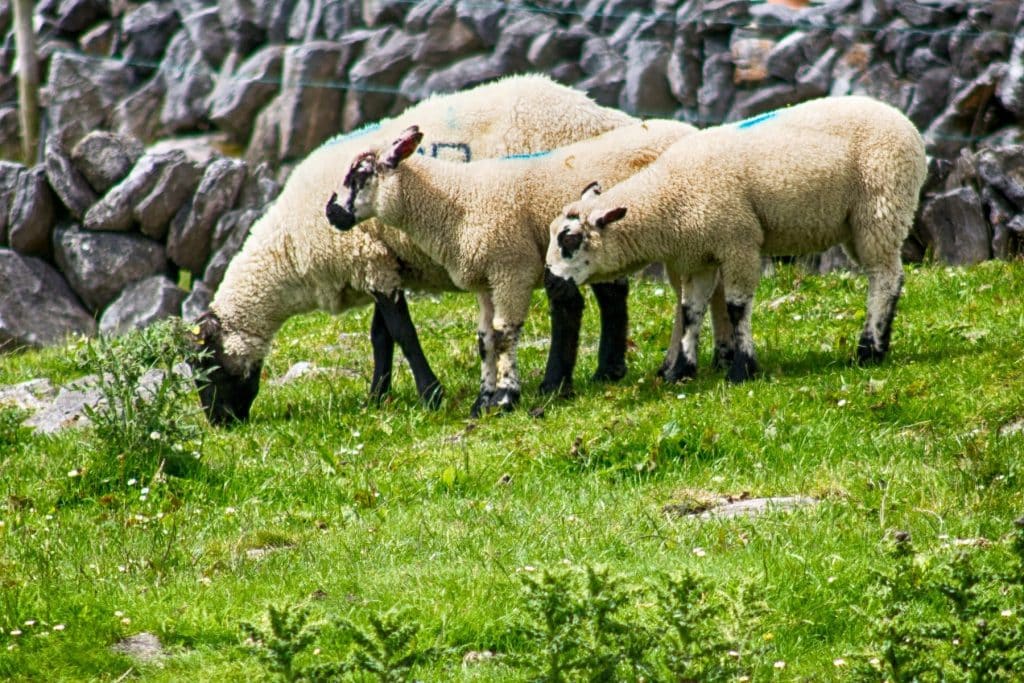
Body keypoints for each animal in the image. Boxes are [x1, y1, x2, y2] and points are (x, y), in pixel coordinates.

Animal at [194, 74, 650, 424]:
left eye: (206, 365)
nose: (220, 423)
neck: (287, 253)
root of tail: (607, 116)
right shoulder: (382, 262)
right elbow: (380, 336)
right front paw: (377, 396)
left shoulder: (368, 261)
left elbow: (402, 333)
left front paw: (430, 394)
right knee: (611, 290)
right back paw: (608, 370)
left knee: (572, 303)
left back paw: (560, 381)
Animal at [324, 119, 695, 416]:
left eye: (359, 174)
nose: (332, 213)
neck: (455, 201)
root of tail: (687, 128)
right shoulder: (486, 281)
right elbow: (485, 339)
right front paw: (483, 401)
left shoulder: (511, 270)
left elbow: (504, 334)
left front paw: (505, 398)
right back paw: (609, 372)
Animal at [543, 95, 928, 386]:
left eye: (570, 239)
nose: (551, 277)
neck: (668, 197)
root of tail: (904, 121)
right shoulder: (699, 256)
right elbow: (691, 310)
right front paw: (682, 371)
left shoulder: (738, 242)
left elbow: (736, 306)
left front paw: (743, 369)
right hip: (859, 222)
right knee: (889, 276)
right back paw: (880, 346)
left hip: (881, 206)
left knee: (884, 277)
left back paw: (869, 350)